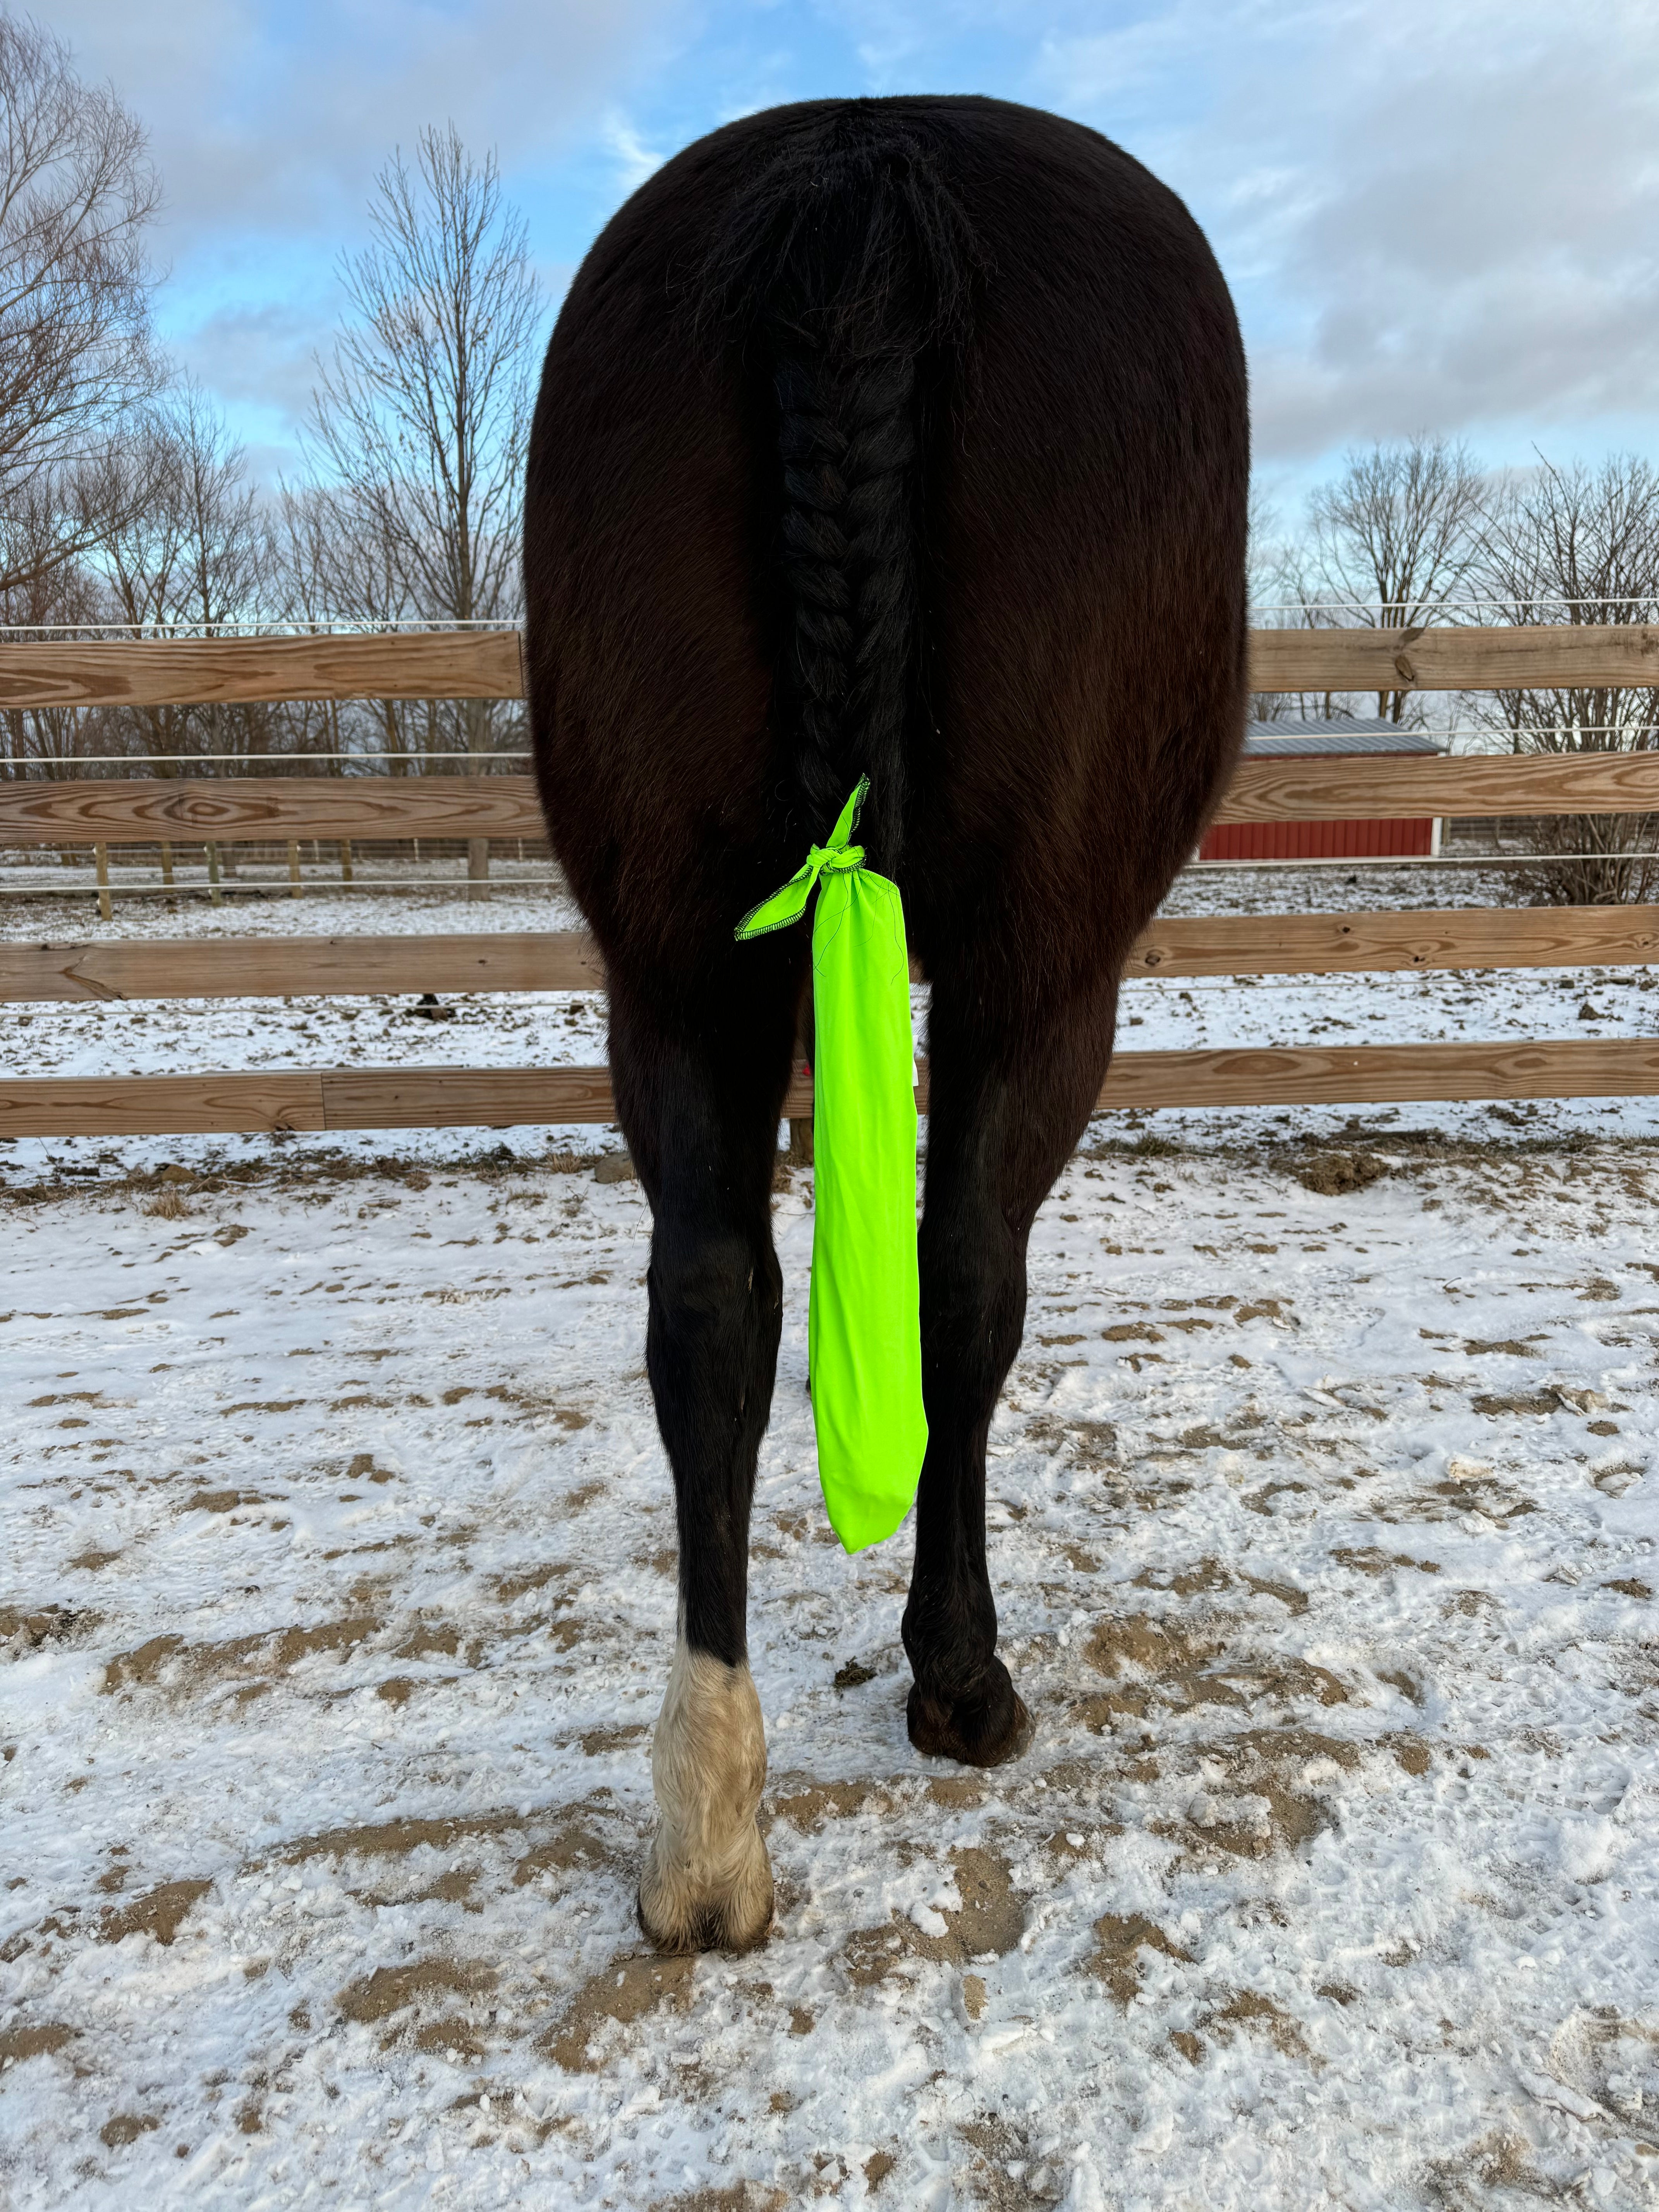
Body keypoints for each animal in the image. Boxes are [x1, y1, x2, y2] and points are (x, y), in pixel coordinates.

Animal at [522, 91, 1247, 1955]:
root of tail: (866, 164)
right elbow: (959, 1287)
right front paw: (951, 1675)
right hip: (1042, 972)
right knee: (963, 1274)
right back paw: (963, 1679)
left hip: (672, 964)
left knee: (709, 1304)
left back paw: (704, 1828)